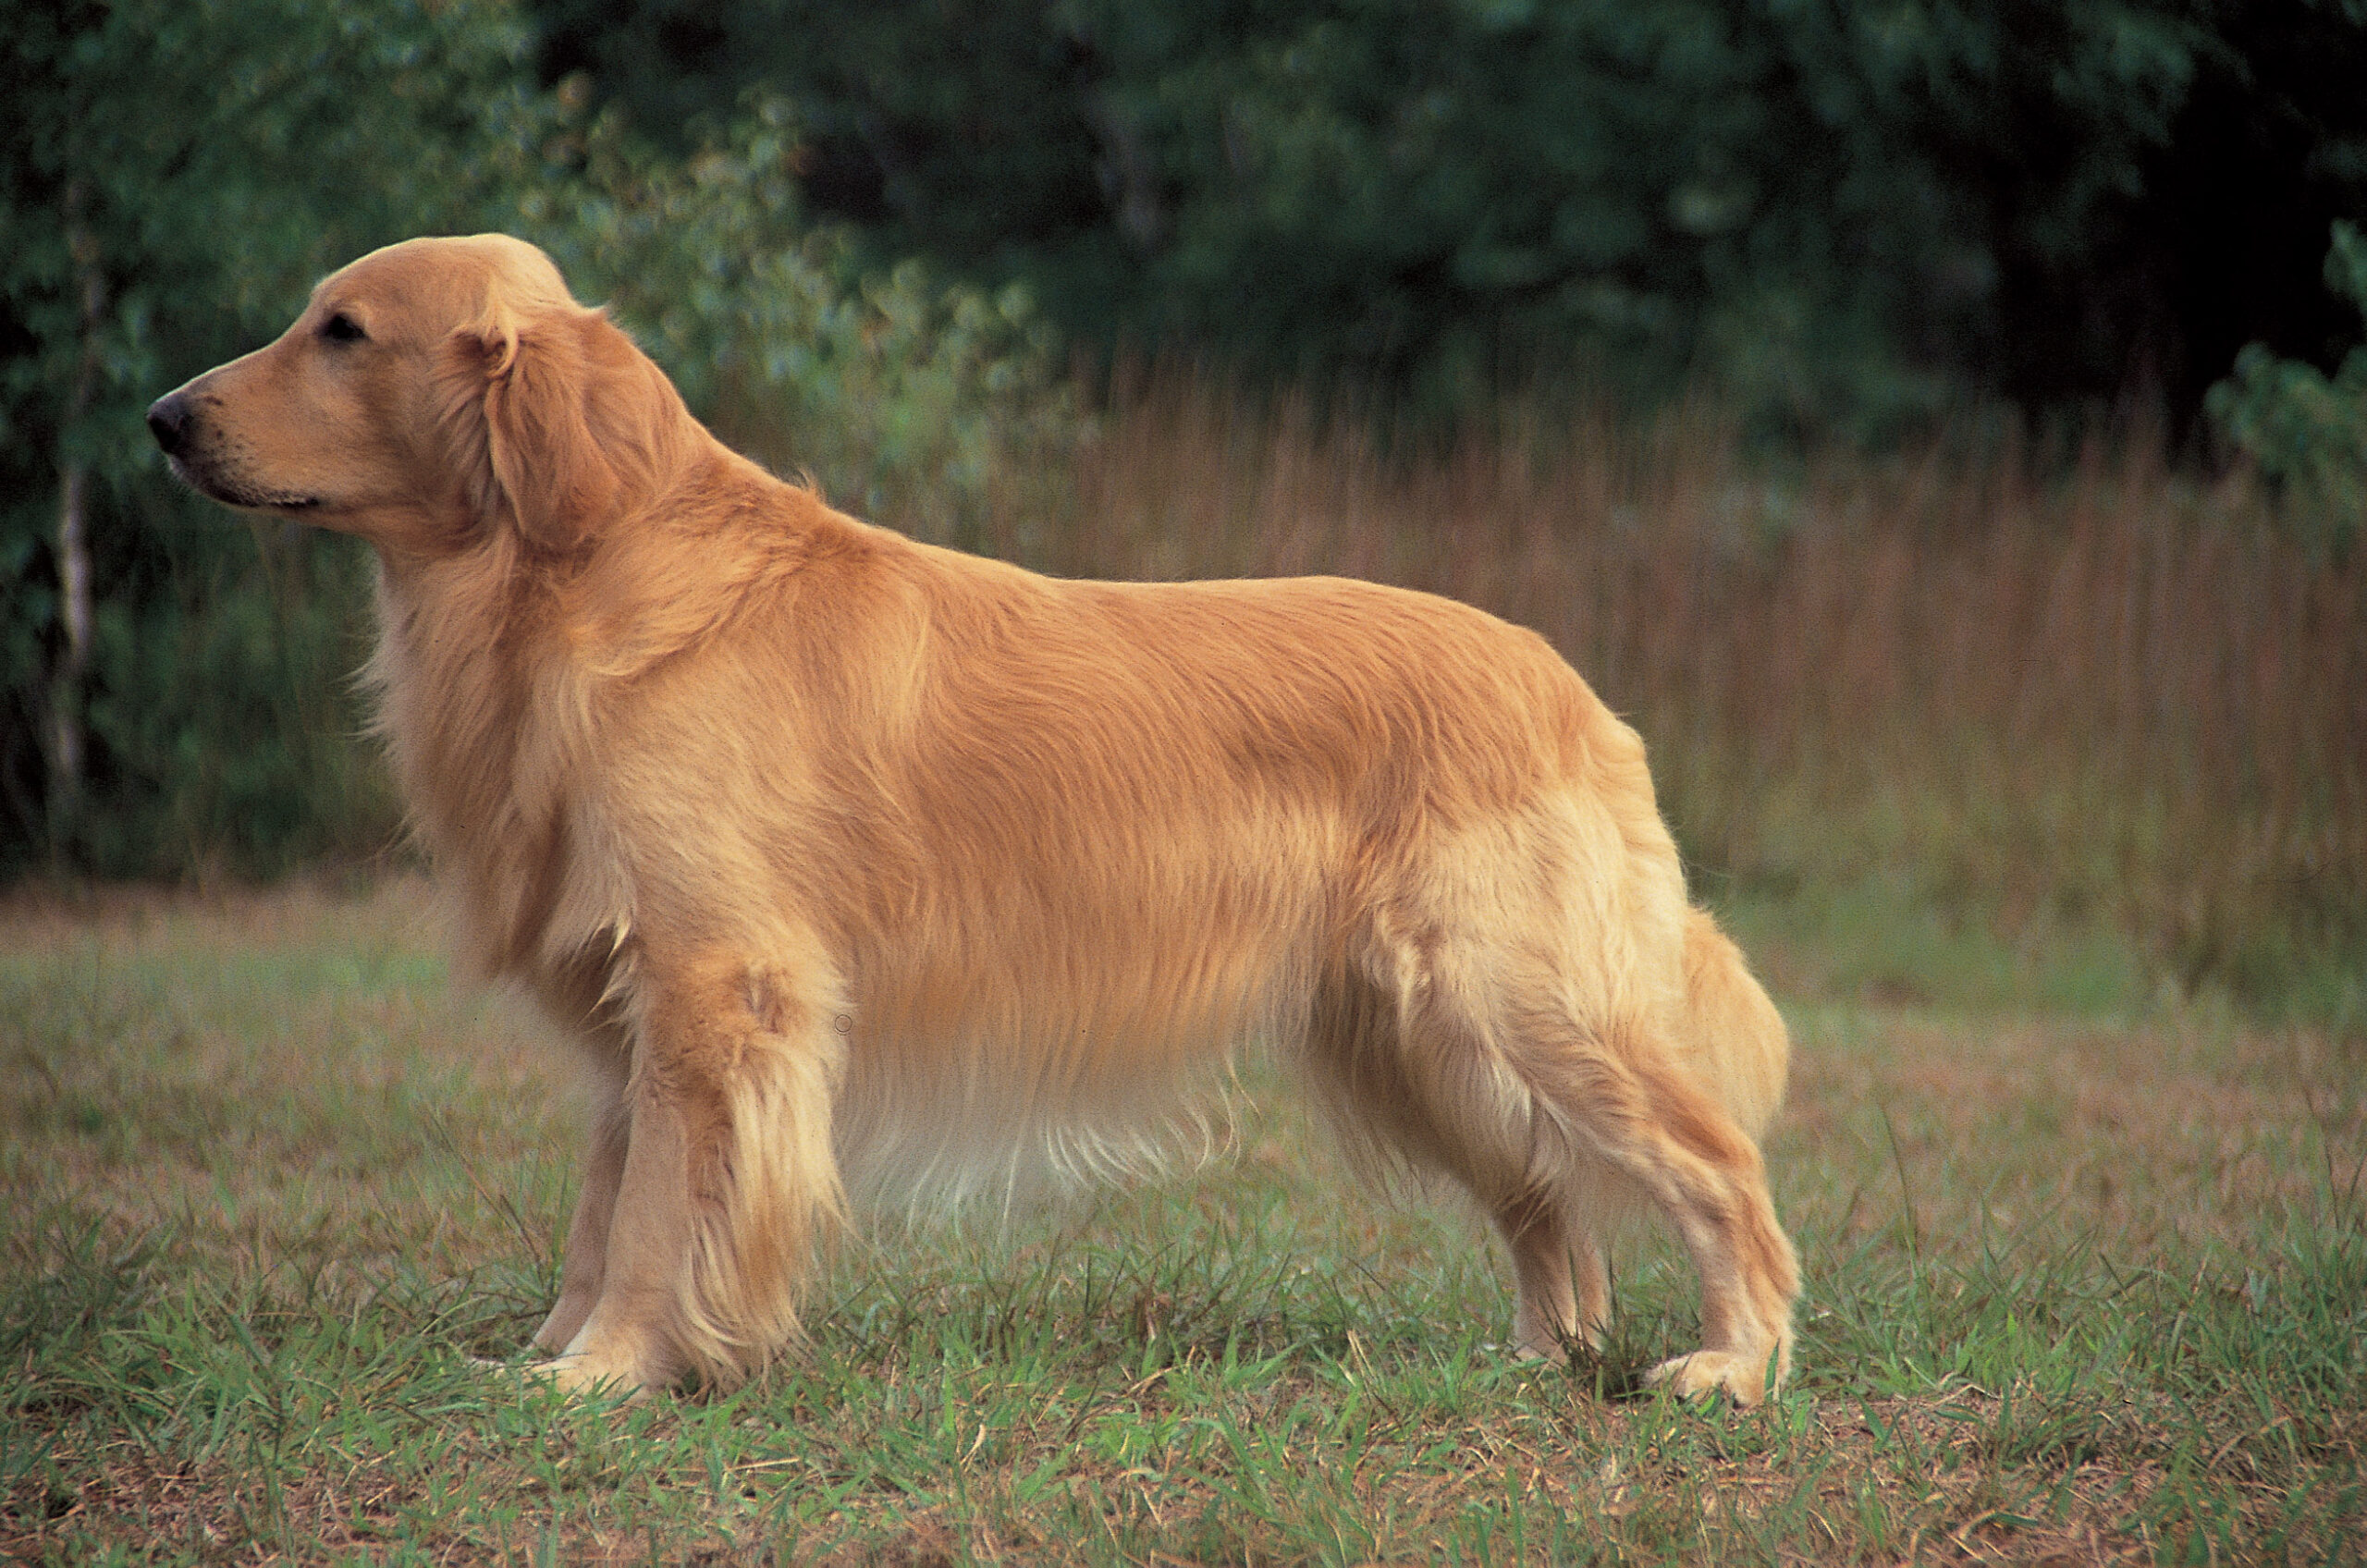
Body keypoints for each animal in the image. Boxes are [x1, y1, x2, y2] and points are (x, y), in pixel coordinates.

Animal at [148, 237, 1789, 1411]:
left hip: (1515, 999)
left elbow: (655, 1217)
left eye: (342, 331)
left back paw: (1735, 1365)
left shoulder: (716, 982)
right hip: (1413, 1038)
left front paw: (609, 1373)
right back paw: (1540, 1361)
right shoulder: (642, 1010)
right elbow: (604, 1205)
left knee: (1719, 1165)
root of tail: (1577, 692)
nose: (161, 418)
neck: (580, 577)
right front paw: (556, 1353)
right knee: (1546, 1200)